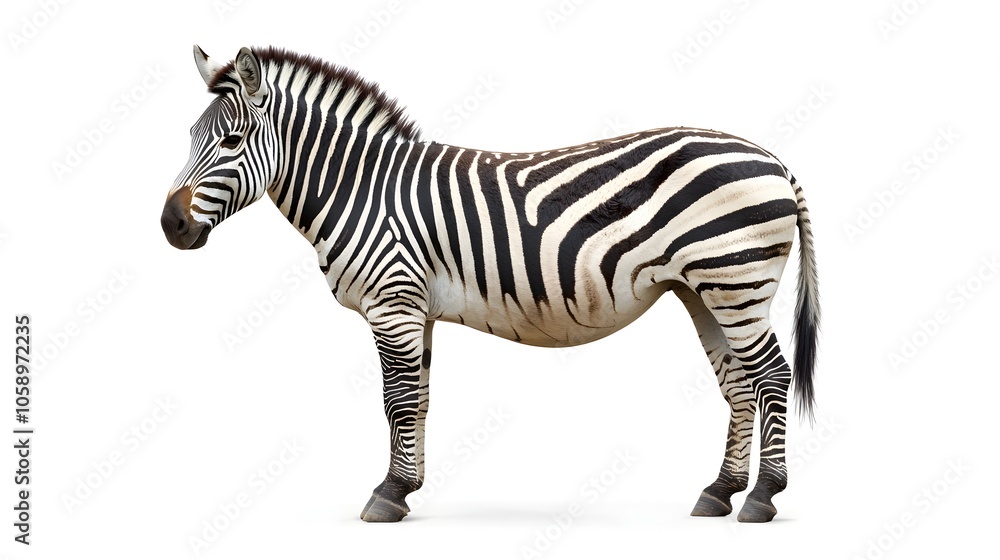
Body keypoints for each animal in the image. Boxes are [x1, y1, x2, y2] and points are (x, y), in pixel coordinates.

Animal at [161, 45, 820, 524]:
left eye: (231, 141)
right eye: (191, 139)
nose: (171, 226)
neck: (363, 190)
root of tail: (773, 158)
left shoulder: (392, 301)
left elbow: (396, 399)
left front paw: (387, 494)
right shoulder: (415, 307)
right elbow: (419, 398)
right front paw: (407, 488)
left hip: (735, 278)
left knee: (772, 376)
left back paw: (763, 496)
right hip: (704, 290)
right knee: (740, 384)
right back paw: (719, 492)